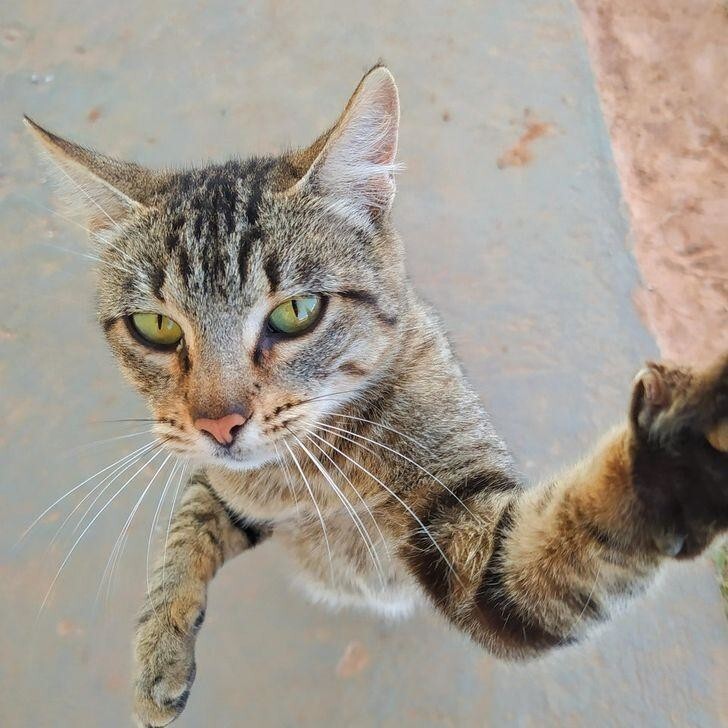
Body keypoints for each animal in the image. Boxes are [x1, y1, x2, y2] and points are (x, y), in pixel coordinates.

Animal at [27, 65, 728, 724]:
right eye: (156, 326)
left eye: (296, 312)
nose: (219, 424)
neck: (305, 467)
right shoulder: (223, 485)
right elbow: (188, 531)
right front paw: (159, 648)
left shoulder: (468, 539)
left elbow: (555, 546)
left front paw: (675, 456)